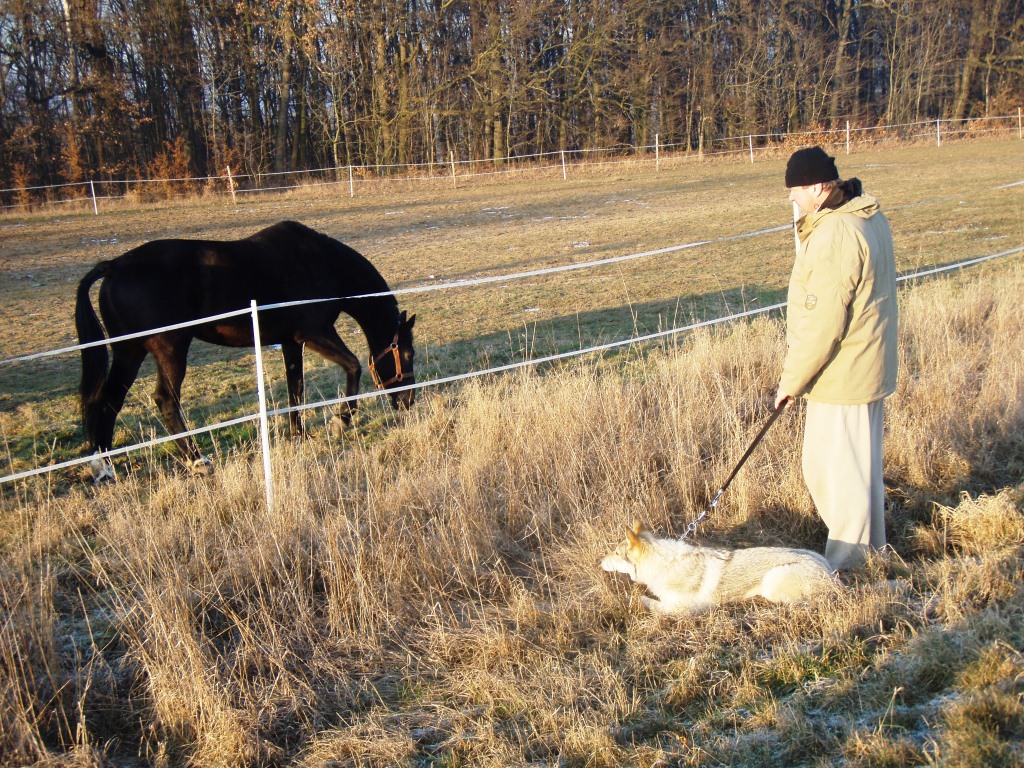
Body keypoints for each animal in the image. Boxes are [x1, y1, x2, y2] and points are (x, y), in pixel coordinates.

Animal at [74, 219, 419, 473]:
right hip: (170, 350)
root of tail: (114, 266)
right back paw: (197, 460)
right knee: (166, 400)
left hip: (129, 351)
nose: (409, 401)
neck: (319, 262)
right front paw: (341, 420)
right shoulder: (315, 333)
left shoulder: (291, 342)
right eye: (407, 354)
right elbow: (353, 366)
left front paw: (298, 435)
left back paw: (104, 465)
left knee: (109, 400)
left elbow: (296, 388)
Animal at [598, 520, 831, 618]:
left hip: (771, 583)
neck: (664, 564)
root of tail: (832, 576)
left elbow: (646, 600)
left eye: (615, 553)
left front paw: (630, 600)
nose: (599, 562)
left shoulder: (685, 609)